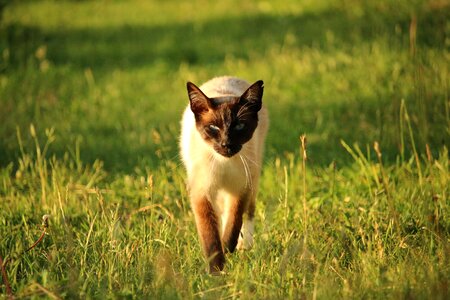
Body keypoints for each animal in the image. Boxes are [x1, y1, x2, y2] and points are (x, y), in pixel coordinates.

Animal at [179, 76, 268, 274]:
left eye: (239, 126)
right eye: (213, 127)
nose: (226, 144)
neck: (224, 163)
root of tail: (227, 77)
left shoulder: (240, 187)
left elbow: (235, 220)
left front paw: (228, 247)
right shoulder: (202, 192)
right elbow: (210, 235)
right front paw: (216, 272)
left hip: (253, 179)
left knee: (247, 212)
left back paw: (244, 246)